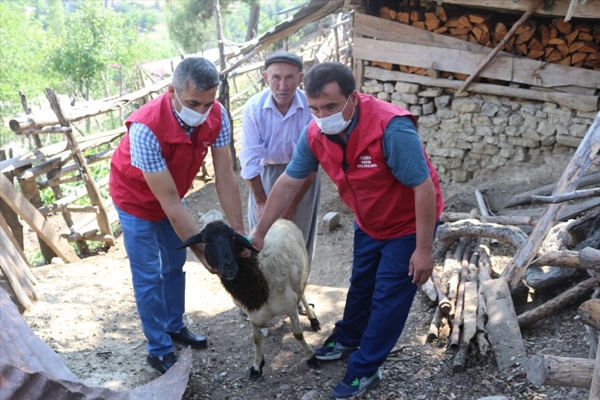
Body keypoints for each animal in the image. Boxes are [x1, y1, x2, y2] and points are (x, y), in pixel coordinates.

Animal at [177, 219, 322, 378]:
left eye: (233, 237)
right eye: (205, 241)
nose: (229, 266)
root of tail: (282, 220)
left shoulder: (289, 306)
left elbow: (298, 334)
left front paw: (311, 356)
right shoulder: (252, 313)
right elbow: (256, 339)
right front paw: (257, 365)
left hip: (303, 269)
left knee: (303, 294)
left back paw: (313, 318)